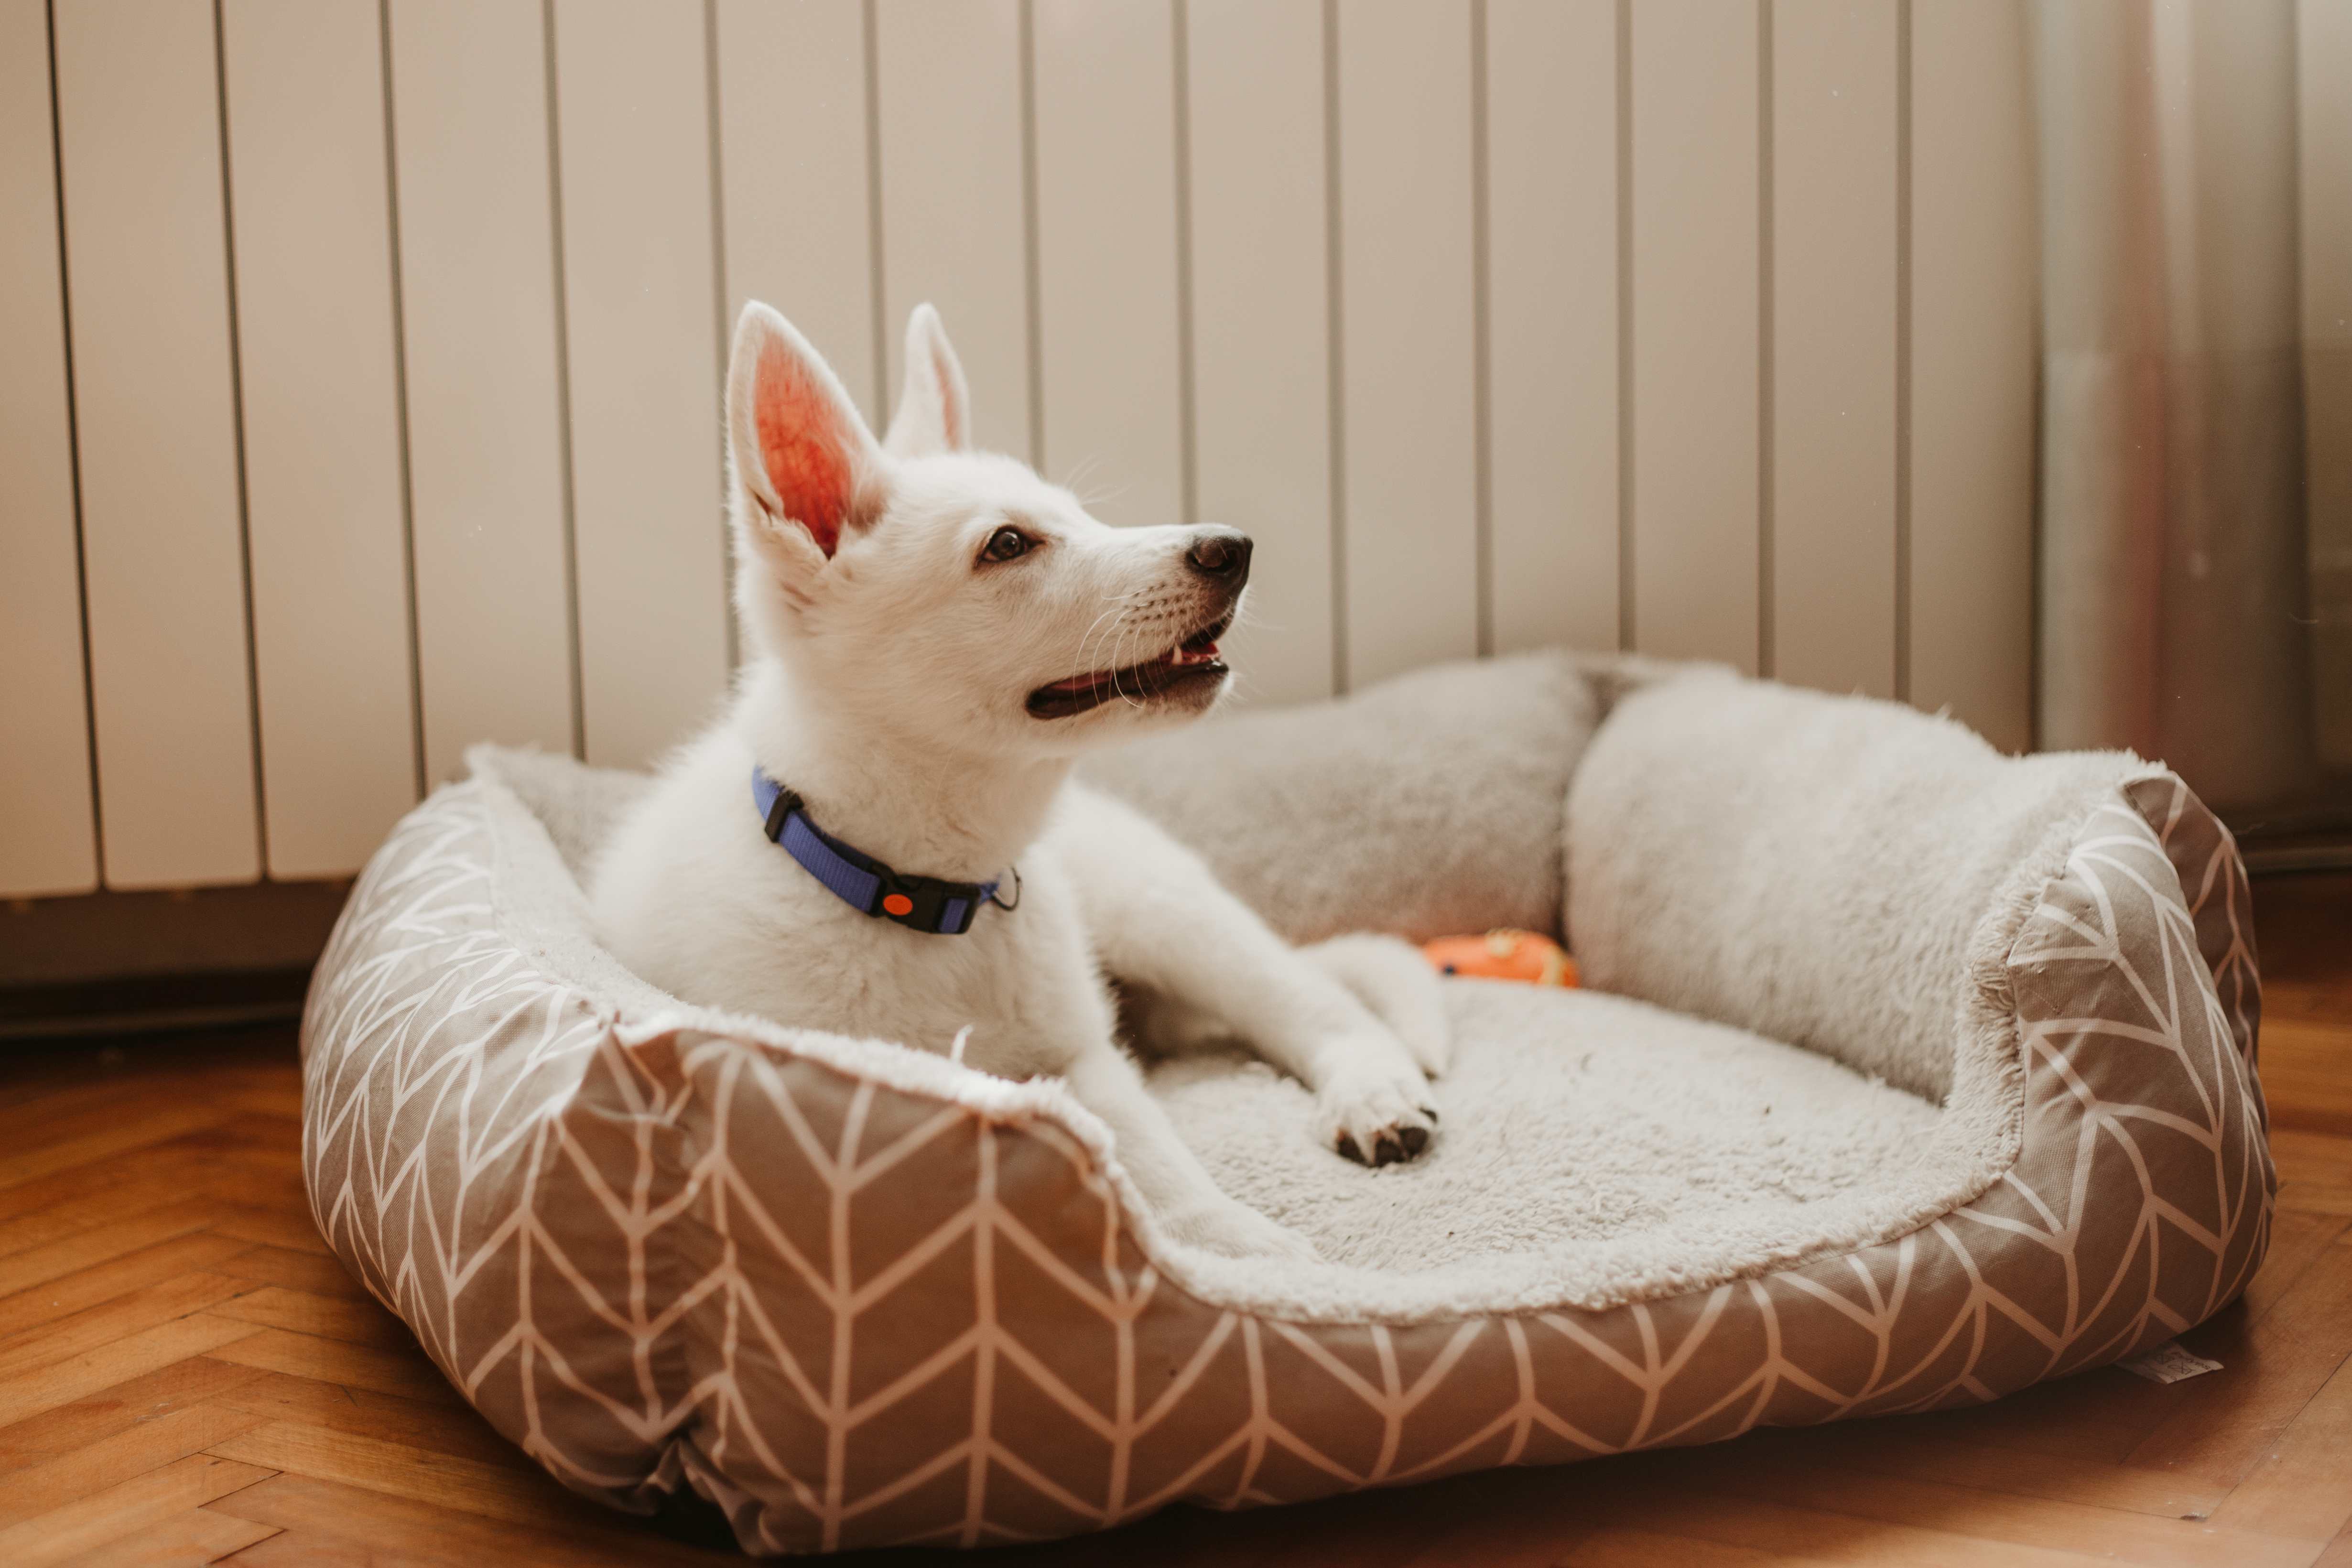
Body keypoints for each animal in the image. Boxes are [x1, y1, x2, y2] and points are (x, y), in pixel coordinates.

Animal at [588, 303, 1449, 1260]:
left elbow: (1152, 1157)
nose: (1233, 549)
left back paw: (1374, 1093)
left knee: (1314, 999)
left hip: (1163, 908)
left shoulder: (1084, 1053)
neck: (917, 894)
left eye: (1076, 515)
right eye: (1007, 544)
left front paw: (1246, 1253)